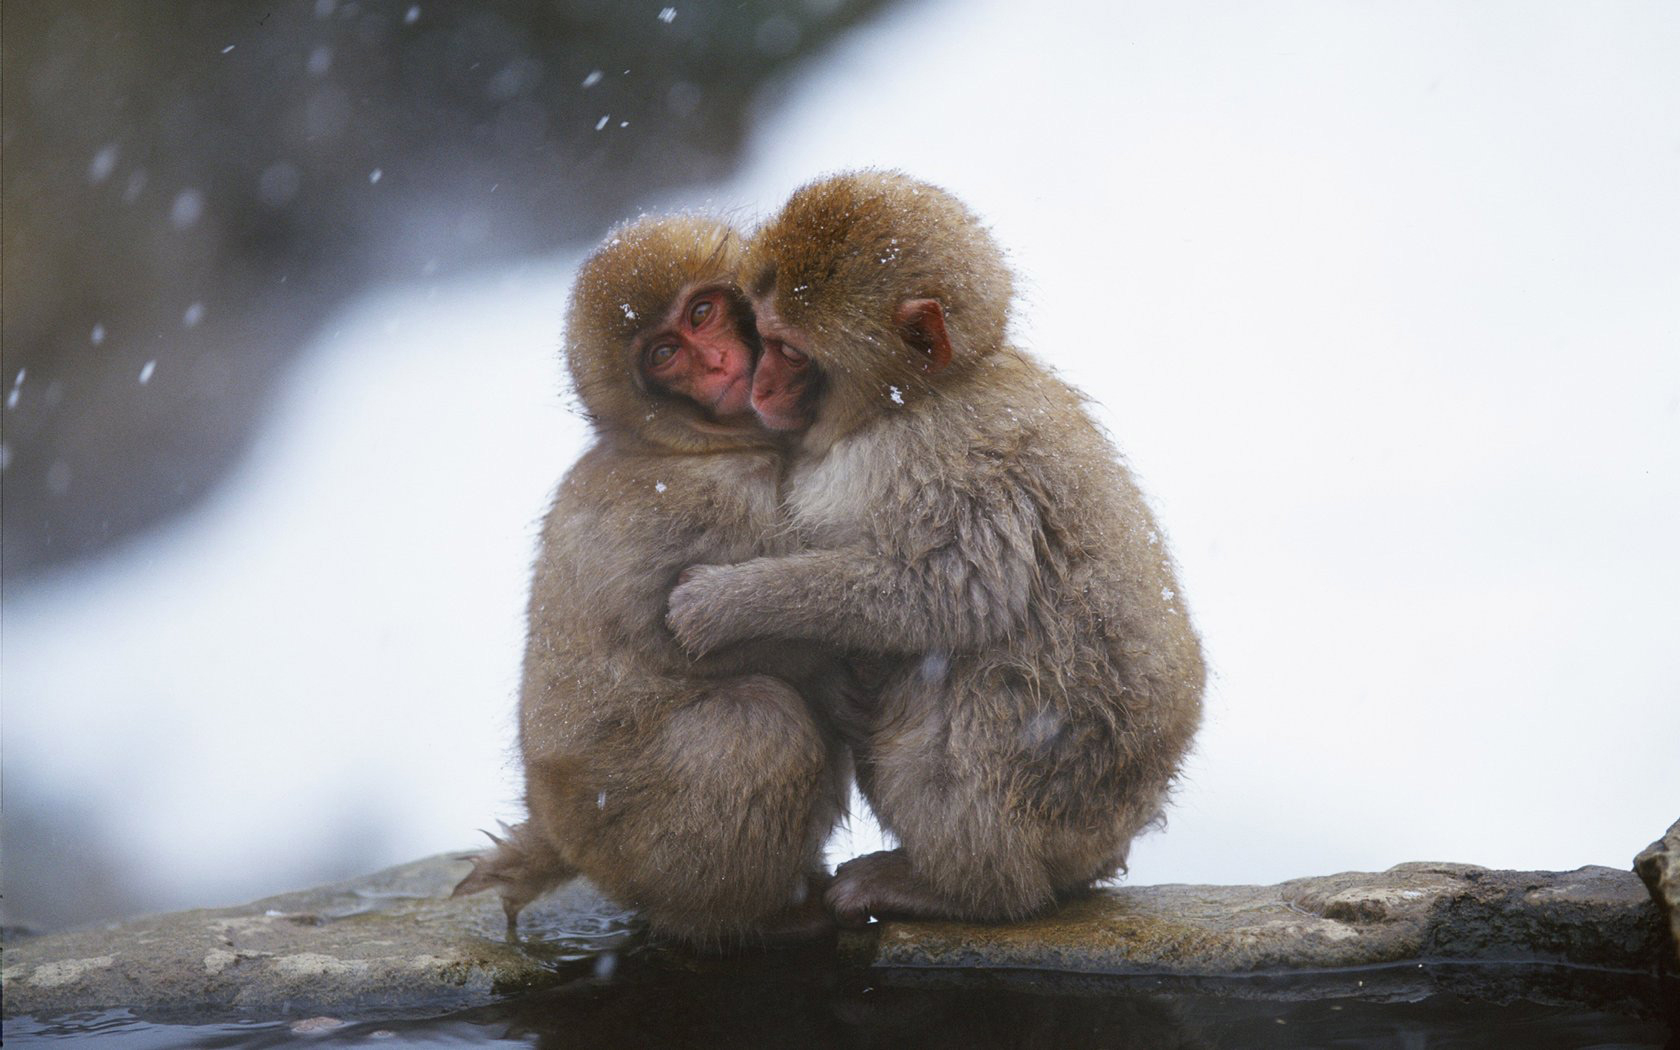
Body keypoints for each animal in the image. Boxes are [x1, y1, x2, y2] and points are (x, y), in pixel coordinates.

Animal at [453, 215, 850, 947]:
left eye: (702, 313)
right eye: (666, 353)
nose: (717, 364)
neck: (683, 443)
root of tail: (556, 830)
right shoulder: (716, 501)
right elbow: (729, 634)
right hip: (635, 833)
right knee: (759, 725)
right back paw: (758, 916)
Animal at [665, 172, 1206, 925]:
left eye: (791, 351)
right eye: (760, 337)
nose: (759, 385)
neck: (910, 401)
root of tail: (1114, 833)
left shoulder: (949, 461)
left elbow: (954, 593)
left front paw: (727, 604)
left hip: (1050, 791)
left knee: (967, 695)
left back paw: (964, 889)